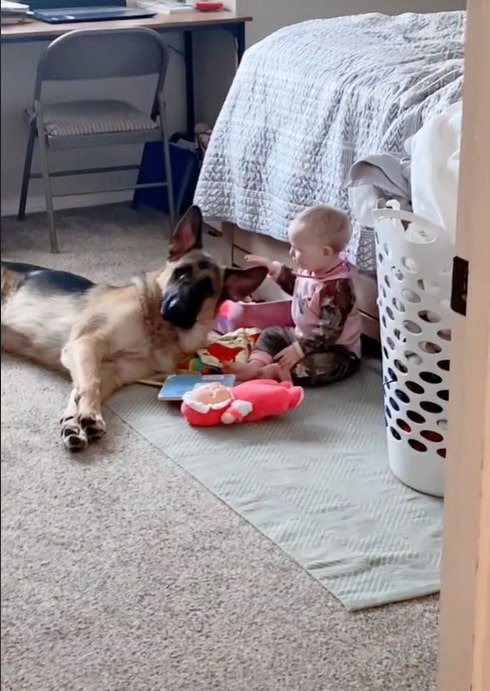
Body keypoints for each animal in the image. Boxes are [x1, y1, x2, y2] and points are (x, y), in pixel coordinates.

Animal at [0, 205, 268, 454]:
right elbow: (91, 384)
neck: (158, 330)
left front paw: (74, 425)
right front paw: (90, 416)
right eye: (181, 274)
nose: (175, 309)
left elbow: (80, 391)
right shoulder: (86, 344)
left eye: (206, 290)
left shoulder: (111, 370)